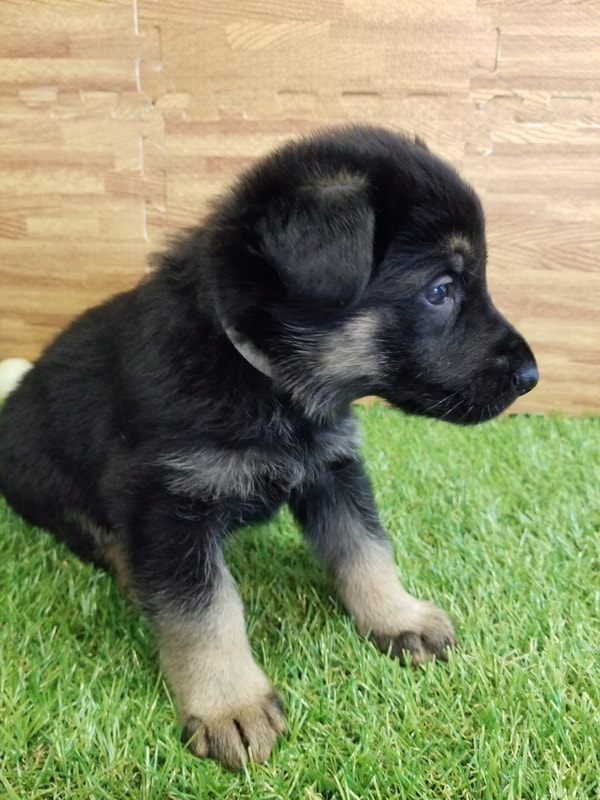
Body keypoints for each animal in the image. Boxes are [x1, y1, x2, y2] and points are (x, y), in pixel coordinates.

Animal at [0, 125, 537, 769]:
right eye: (440, 290)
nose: (532, 376)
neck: (266, 378)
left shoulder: (333, 467)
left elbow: (366, 550)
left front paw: (397, 616)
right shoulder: (167, 500)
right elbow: (206, 610)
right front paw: (229, 704)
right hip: (45, 476)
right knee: (93, 532)